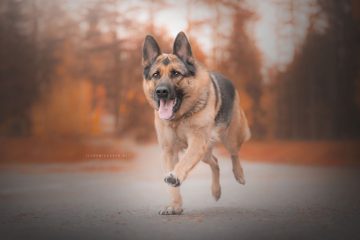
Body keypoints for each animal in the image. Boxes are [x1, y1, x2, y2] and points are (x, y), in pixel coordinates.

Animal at [141, 32, 250, 216]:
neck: (179, 118)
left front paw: (174, 176)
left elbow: (183, 163)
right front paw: (175, 206)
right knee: (215, 162)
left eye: (175, 73)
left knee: (234, 153)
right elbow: (173, 186)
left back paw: (239, 174)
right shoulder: (169, 151)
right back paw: (216, 191)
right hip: (205, 152)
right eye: (156, 75)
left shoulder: (197, 141)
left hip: (229, 137)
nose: (161, 91)